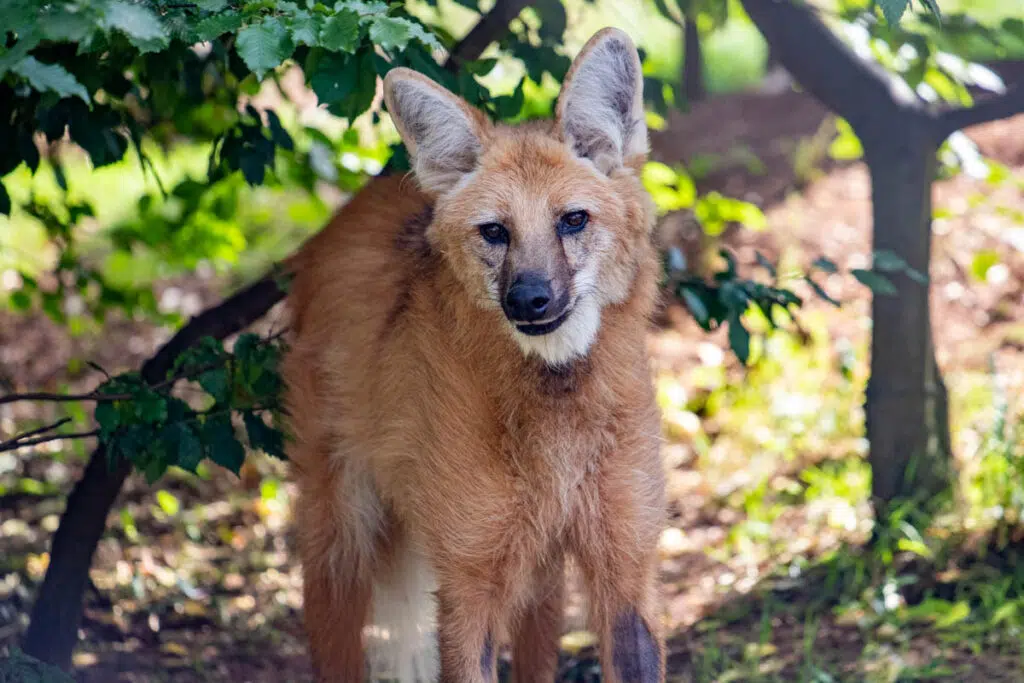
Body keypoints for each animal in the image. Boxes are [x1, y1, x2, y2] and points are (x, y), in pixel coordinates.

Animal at [282, 26, 663, 683]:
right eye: (494, 232)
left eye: (573, 220)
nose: (530, 300)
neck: (556, 411)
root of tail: (343, 215)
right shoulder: (469, 575)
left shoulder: (624, 559)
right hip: (344, 528)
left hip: (538, 569)